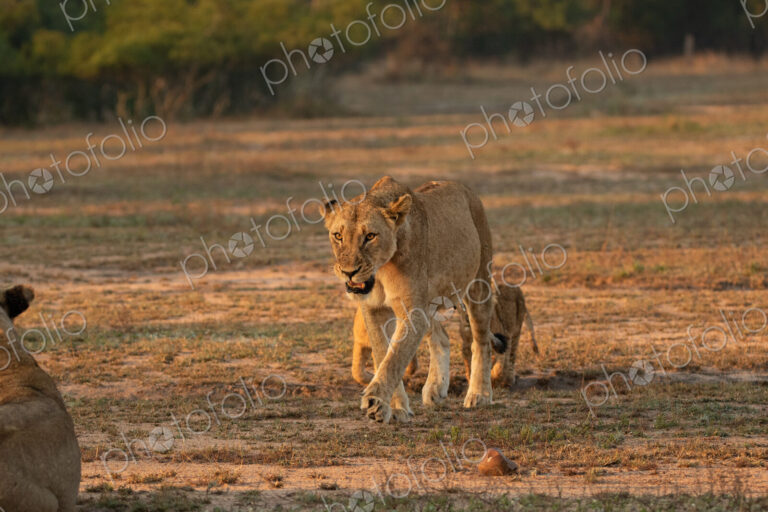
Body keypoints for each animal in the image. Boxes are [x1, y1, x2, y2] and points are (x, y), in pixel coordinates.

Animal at [323, 176, 497, 423]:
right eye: (338, 236)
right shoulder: (374, 309)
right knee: (442, 337)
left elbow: (395, 357)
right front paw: (396, 409)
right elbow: (382, 354)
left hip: (478, 283)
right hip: (428, 300)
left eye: (370, 236)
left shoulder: (413, 309)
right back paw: (435, 389)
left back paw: (479, 394)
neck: (381, 270)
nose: (348, 272)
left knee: (480, 340)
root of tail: (463, 187)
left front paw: (376, 401)